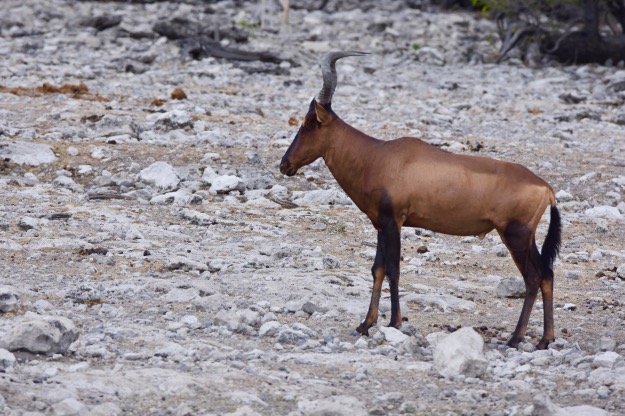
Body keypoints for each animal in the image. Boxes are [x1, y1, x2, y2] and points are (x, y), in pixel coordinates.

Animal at [278, 52, 560, 352]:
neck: (378, 155)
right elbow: (377, 269)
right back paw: (545, 339)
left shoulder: (394, 221)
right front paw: (365, 324)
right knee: (547, 274)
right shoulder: (381, 224)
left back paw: (516, 338)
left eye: (309, 124)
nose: (285, 164)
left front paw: (394, 322)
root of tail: (546, 189)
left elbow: (393, 269)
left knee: (533, 278)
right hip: (526, 238)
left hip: (515, 237)